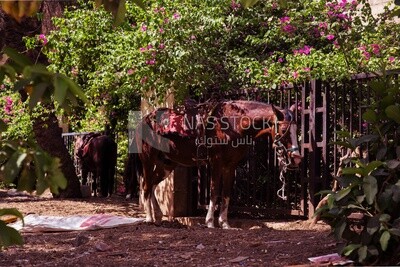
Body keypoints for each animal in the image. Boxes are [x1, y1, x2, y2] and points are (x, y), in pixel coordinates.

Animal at [134, 99, 300, 229]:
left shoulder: (230, 166)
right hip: (148, 159)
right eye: (283, 129)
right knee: (146, 186)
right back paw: (149, 218)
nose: (297, 157)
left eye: (296, 129)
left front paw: (224, 223)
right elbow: (214, 191)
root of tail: (145, 119)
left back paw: (158, 216)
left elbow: (226, 193)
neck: (234, 123)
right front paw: (210, 222)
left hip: (167, 164)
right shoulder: (216, 163)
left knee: (152, 184)